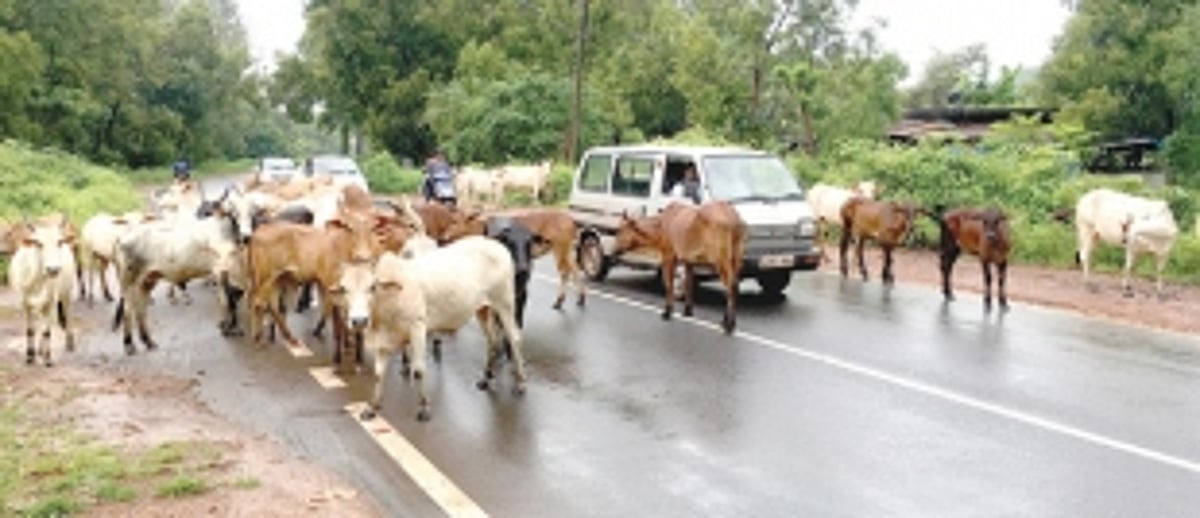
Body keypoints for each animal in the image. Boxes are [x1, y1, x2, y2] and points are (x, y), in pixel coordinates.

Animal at [8, 218, 78, 366]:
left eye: (59, 242)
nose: (53, 269)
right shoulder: (25, 303)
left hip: (66, 293)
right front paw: (30, 356)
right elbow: (30, 330)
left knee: (67, 313)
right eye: (39, 243)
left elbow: (47, 331)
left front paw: (48, 358)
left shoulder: (50, 301)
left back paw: (69, 342)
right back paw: (39, 349)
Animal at [338, 237, 528, 422]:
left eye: (372, 287)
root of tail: (497, 245)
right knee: (493, 341)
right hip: (483, 309)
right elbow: (379, 374)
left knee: (515, 338)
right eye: (344, 289)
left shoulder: (418, 327)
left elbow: (418, 371)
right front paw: (372, 408)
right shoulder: (383, 341)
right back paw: (486, 379)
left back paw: (521, 383)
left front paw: (423, 409)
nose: (359, 321)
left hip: (504, 303)